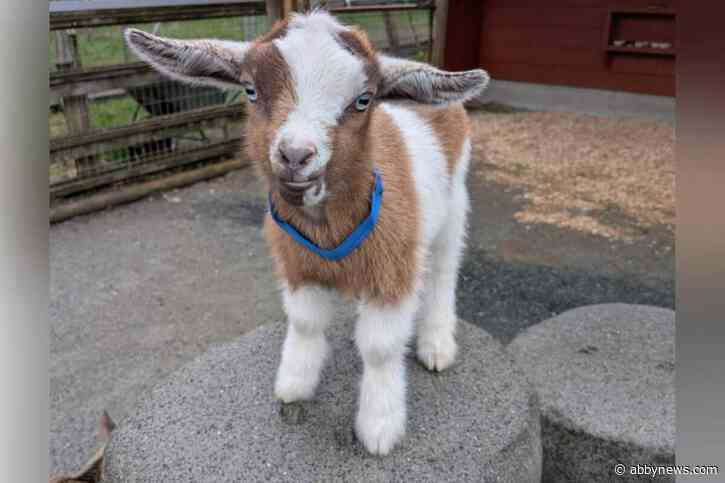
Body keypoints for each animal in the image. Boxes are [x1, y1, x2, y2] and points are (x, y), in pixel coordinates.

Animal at [125, 10, 489, 455]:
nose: (296, 155)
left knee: (443, 271)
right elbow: (304, 323)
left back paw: (436, 345)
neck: (329, 226)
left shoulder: (394, 270)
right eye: (250, 89)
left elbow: (380, 347)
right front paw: (294, 384)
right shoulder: (296, 265)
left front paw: (379, 426)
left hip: (454, 203)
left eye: (363, 100)